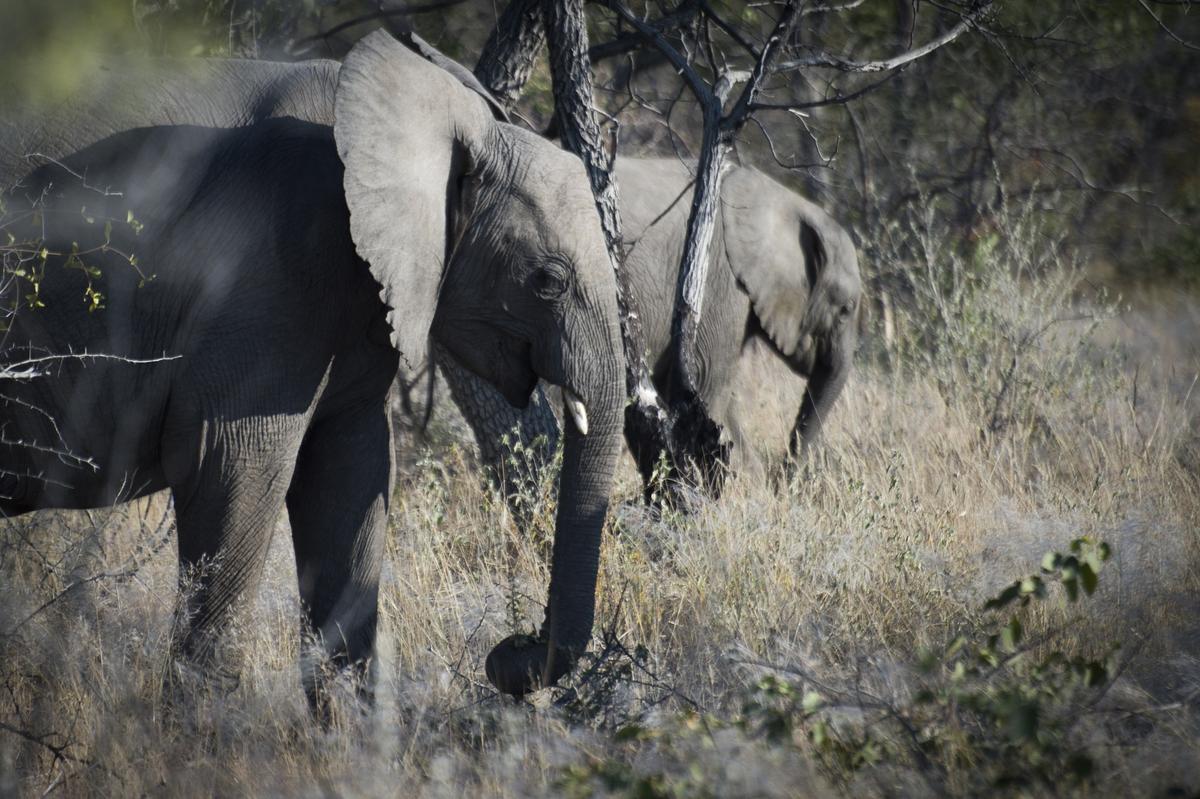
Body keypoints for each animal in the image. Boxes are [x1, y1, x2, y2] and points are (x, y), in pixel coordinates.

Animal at [0, 31, 624, 701]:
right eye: (549, 281)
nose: (511, 647)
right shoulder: (272, 267)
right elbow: (232, 461)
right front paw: (200, 727)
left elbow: (350, 471)